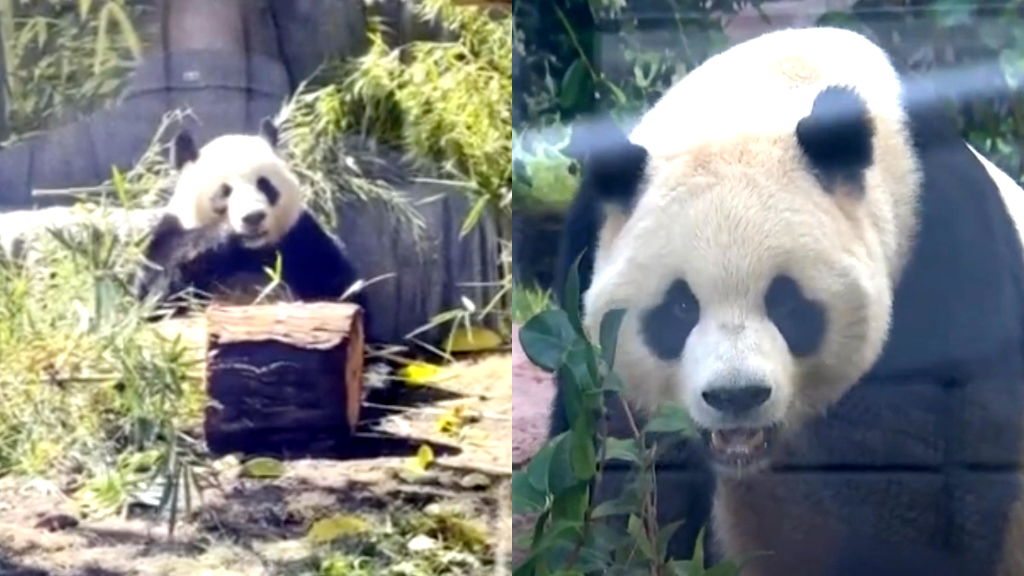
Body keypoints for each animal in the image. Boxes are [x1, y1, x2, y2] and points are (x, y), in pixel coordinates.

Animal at [132, 117, 364, 313]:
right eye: (224, 192)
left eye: (264, 185)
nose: (253, 217)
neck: (251, 251)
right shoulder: (172, 233)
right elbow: (157, 292)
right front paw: (223, 234)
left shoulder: (303, 238)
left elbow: (341, 289)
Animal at [552, 26, 1024, 573]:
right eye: (681, 307)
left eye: (785, 302)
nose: (737, 396)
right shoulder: (583, 258)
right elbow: (616, 459)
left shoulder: (942, 252)